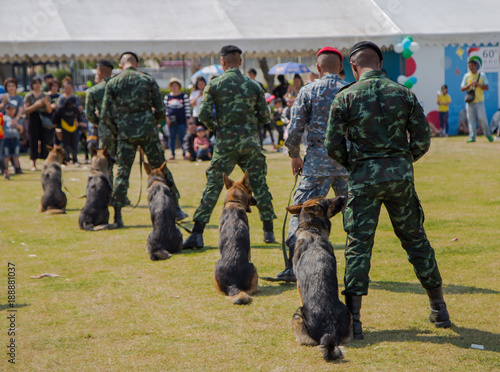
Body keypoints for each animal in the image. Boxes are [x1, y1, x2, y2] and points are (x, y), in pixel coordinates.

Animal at [213, 171, 258, 306]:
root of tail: (233, 283)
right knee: (250, 291)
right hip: (254, 268)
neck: (234, 202)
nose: (256, 201)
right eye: (251, 191)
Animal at [286, 196, 352, 362]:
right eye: (328, 200)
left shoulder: (298, 285)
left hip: (297, 316)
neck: (312, 231)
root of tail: (330, 330)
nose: (343, 197)